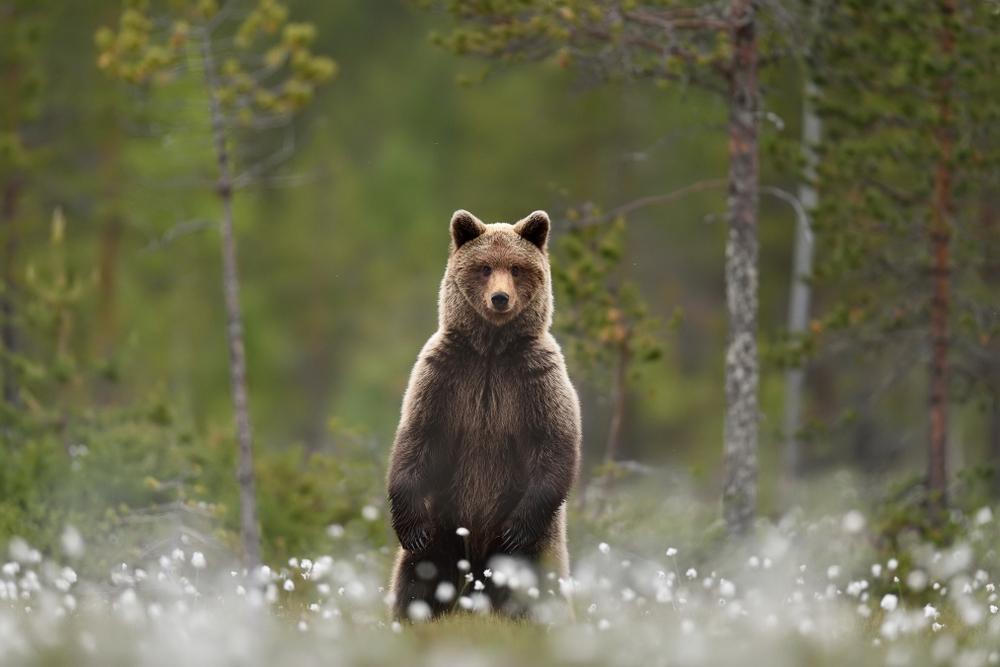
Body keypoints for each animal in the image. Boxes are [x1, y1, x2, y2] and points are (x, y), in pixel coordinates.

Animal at [387, 209, 582, 621]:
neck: (491, 350)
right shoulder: (445, 376)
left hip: (539, 546)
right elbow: (417, 437)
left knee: (537, 587)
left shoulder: (534, 378)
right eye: (485, 267)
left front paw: (516, 529)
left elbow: (554, 443)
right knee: (418, 580)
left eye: (517, 268)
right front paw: (409, 527)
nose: (500, 297)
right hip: (444, 526)